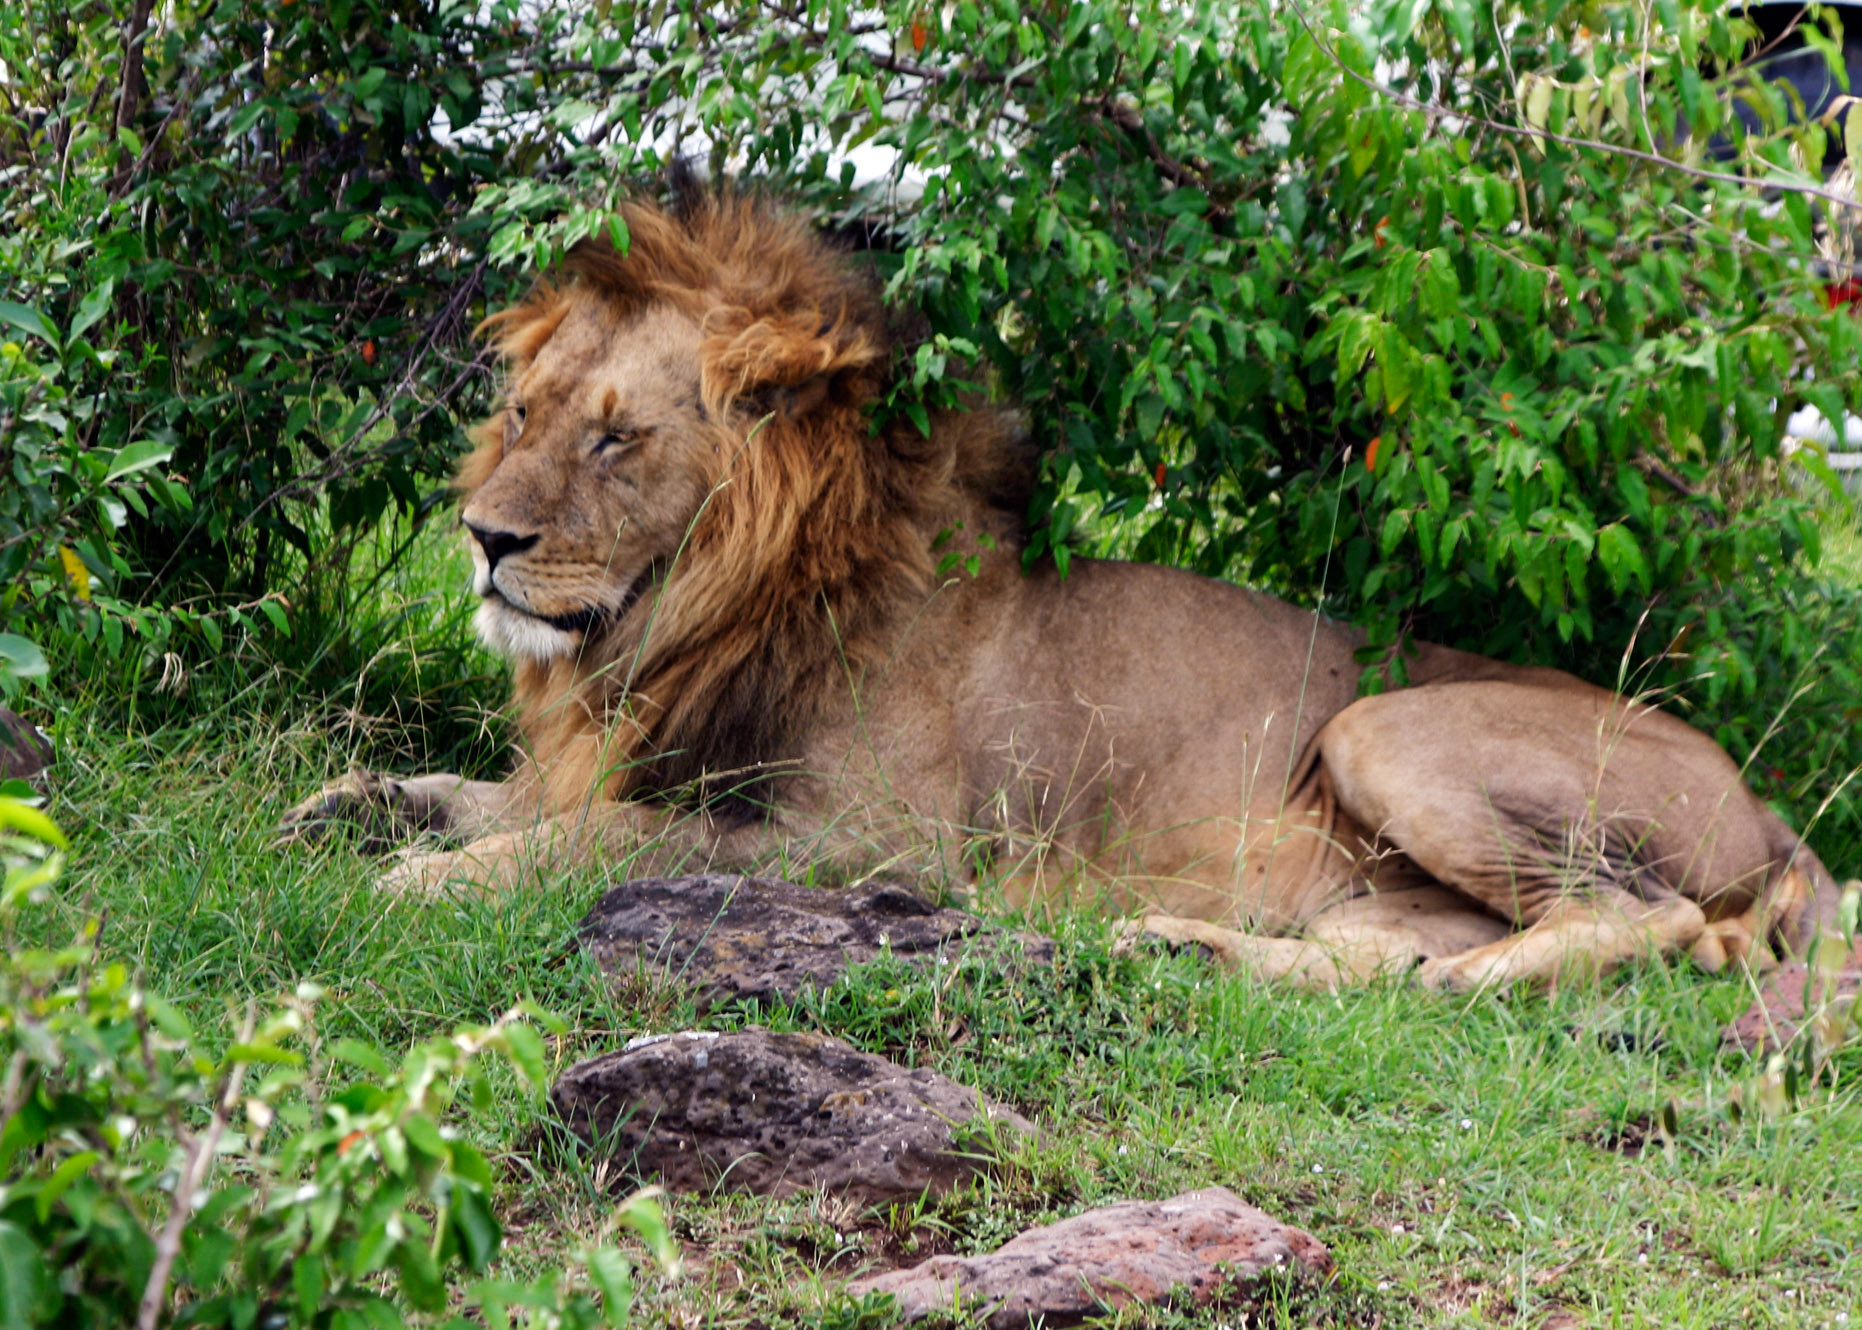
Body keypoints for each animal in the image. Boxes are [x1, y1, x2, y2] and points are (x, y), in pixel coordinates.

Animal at [283, 190, 1844, 992]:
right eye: (523, 409)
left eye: (617, 438)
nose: (481, 537)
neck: (695, 614)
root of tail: (1769, 808)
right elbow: (493, 794)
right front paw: (349, 805)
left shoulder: (873, 843)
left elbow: (590, 837)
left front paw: (420, 880)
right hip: (1361, 876)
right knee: (1385, 959)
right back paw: (1184, 946)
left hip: (1386, 731)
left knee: (1657, 924)